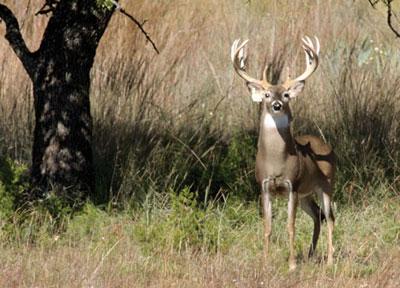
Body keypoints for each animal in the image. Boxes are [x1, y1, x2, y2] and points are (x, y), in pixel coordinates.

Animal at [230, 36, 336, 270]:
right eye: (267, 94)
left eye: (286, 94)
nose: (277, 105)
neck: (277, 162)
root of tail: (325, 144)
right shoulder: (264, 187)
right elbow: (267, 229)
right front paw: (265, 263)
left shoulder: (292, 186)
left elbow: (290, 227)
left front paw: (292, 264)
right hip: (306, 193)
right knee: (318, 215)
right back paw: (311, 255)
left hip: (326, 185)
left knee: (330, 217)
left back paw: (330, 260)